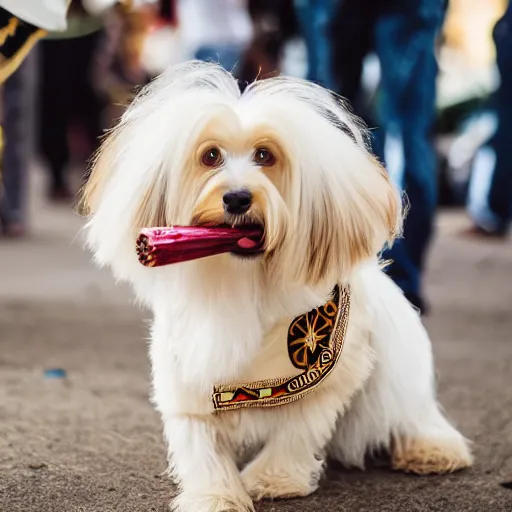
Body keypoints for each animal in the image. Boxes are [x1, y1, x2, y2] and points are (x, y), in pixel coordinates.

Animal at [79, 61, 472, 512]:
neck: (242, 285)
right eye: (210, 156)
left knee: (410, 412)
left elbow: (297, 430)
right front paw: (216, 495)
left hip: (399, 372)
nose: (237, 197)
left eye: (265, 156)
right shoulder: (187, 374)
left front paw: (273, 479)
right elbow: (200, 444)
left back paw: (430, 449)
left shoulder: (328, 381)